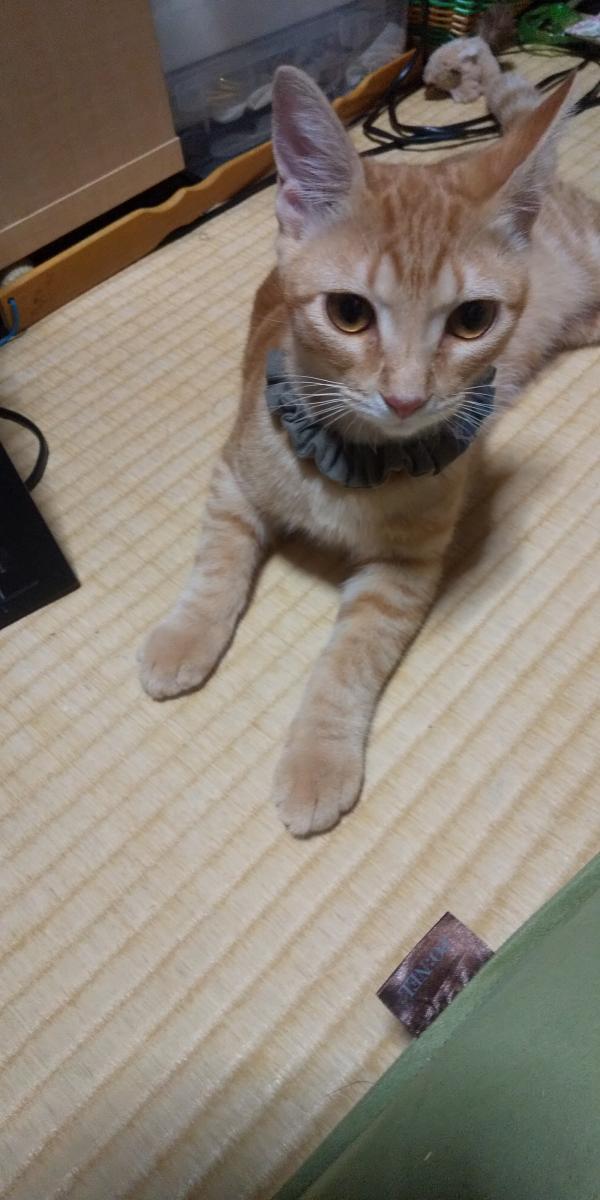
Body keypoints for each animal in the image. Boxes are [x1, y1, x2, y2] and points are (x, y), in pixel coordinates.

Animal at [138, 47, 600, 836]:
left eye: (471, 320)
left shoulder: (404, 568)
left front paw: (318, 759)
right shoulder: (234, 476)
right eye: (349, 313)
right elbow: (217, 564)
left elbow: (348, 660)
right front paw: (186, 636)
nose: (407, 396)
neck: (349, 458)